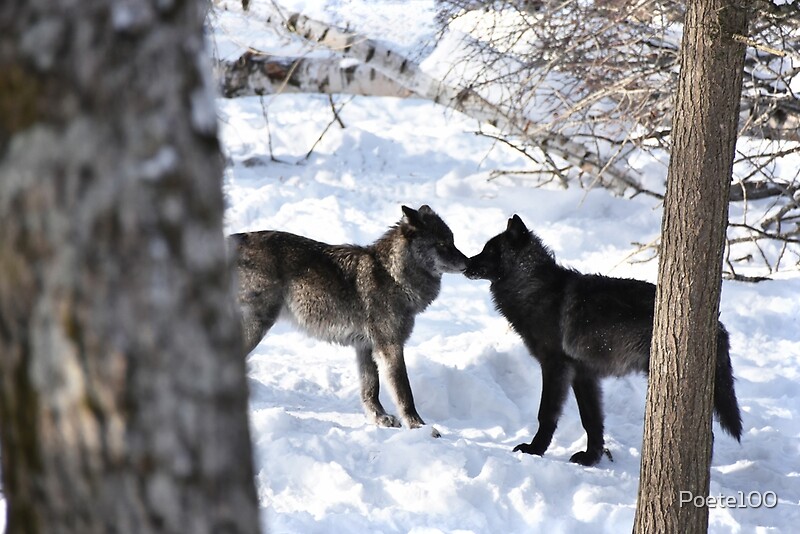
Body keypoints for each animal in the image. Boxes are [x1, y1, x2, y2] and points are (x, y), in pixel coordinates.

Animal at [230, 205, 467, 435]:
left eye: (453, 241)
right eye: (442, 244)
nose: (469, 262)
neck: (392, 275)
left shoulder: (365, 347)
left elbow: (371, 389)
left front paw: (379, 418)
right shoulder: (390, 346)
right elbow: (404, 392)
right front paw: (419, 426)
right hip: (258, 325)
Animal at [464, 214, 742, 466]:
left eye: (489, 251)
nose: (465, 264)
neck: (535, 288)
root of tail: (717, 326)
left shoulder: (555, 367)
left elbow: (546, 414)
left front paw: (535, 450)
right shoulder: (584, 375)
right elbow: (591, 421)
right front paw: (591, 458)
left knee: (708, 436)